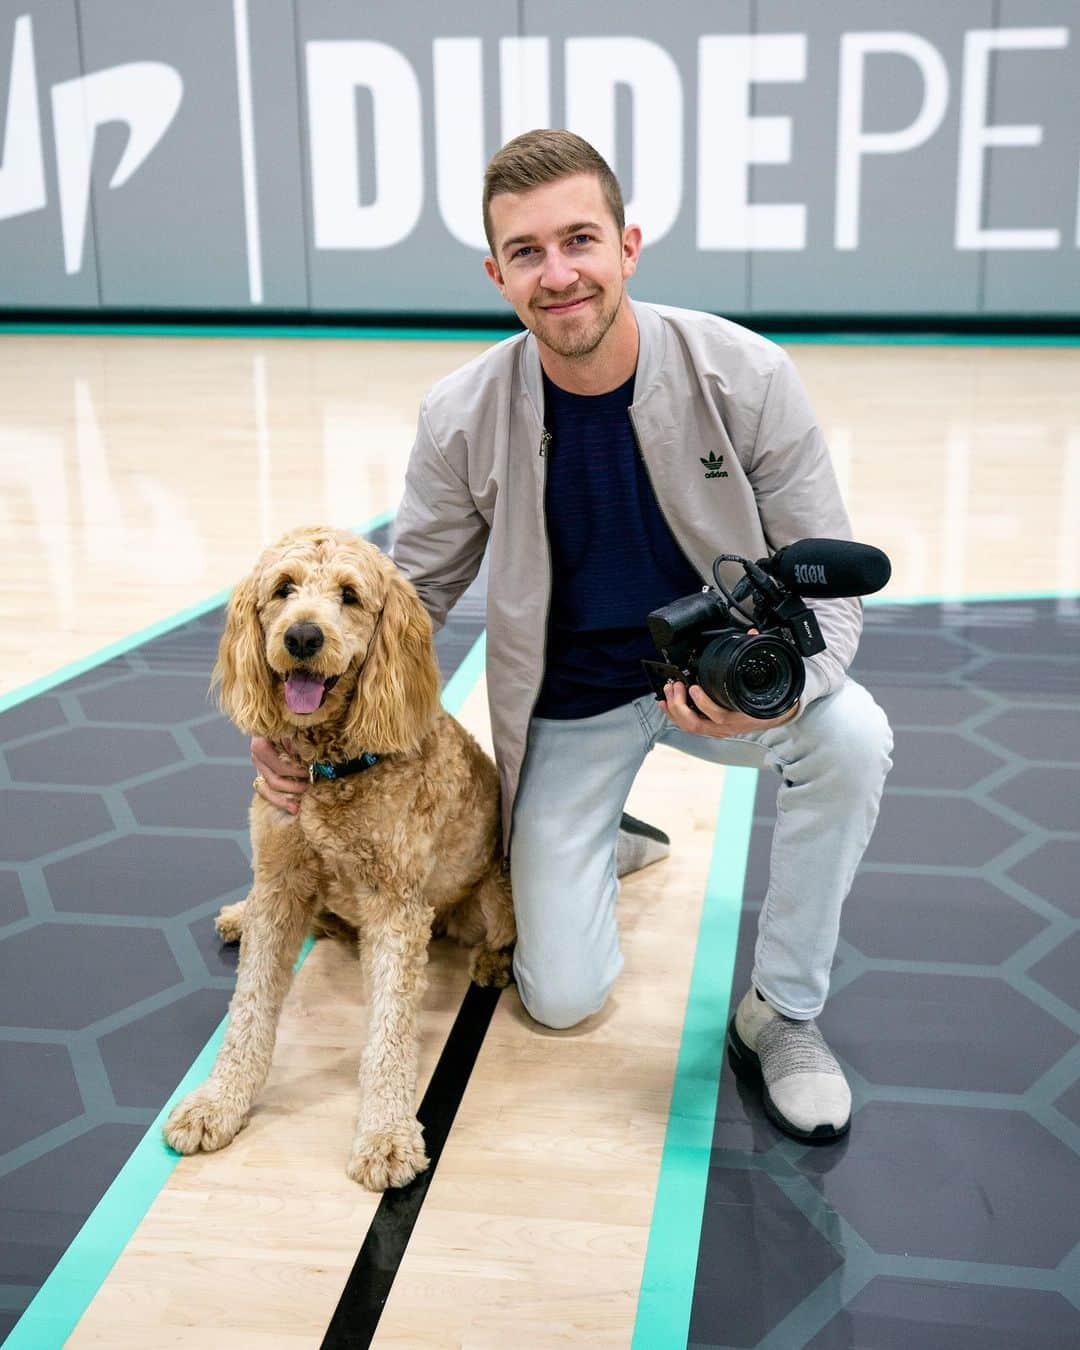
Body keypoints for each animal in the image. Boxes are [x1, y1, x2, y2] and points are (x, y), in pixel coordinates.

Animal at [164, 521, 515, 1188]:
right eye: (283, 588)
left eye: (350, 596)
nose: (302, 636)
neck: (328, 768)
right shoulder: (280, 880)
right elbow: (250, 1008)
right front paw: (219, 1101)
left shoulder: (397, 909)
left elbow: (389, 1034)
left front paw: (386, 1136)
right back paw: (241, 916)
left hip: (494, 891)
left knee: (501, 933)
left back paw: (492, 962)